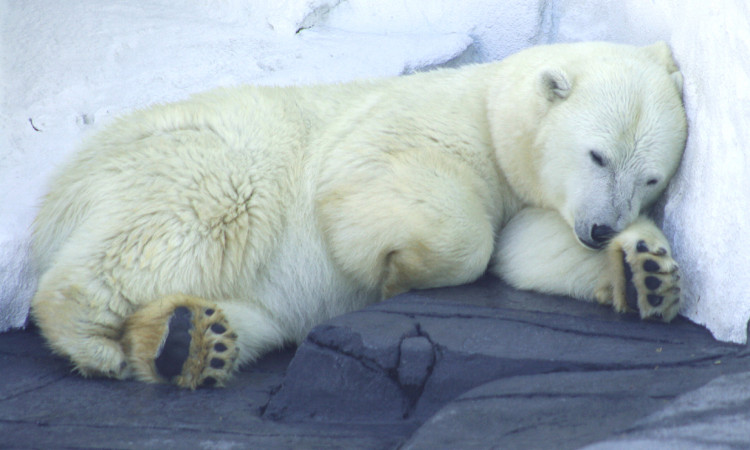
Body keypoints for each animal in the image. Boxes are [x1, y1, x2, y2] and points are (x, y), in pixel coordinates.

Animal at [30, 41, 687, 389]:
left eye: (651, 178)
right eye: (598, 154)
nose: (600, 229)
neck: (491, 111)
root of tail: (61, 190)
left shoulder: (527, 199)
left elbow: (529, 251)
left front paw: (647, 272)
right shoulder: (413, 126)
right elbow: (381, 188)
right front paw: (396, 272)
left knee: (253, 318)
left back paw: (188, 340)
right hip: (207, 162)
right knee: (184, 222)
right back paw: (94, 341)